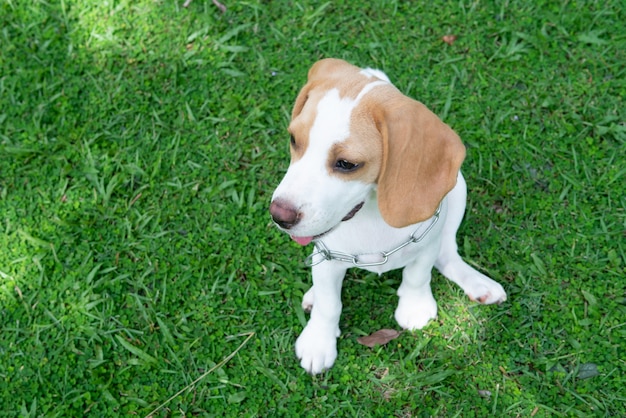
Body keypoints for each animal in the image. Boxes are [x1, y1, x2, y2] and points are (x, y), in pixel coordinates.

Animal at [266, 57, 504, 374]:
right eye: (293, 139)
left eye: (347, 164)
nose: (279, 215)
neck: (370, 217)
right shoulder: (328, 255)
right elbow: (330, 304)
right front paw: (319, 340)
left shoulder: (427, 239)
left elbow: (418, 274)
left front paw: (414, 307)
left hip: (458, 190)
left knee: (447, 253)